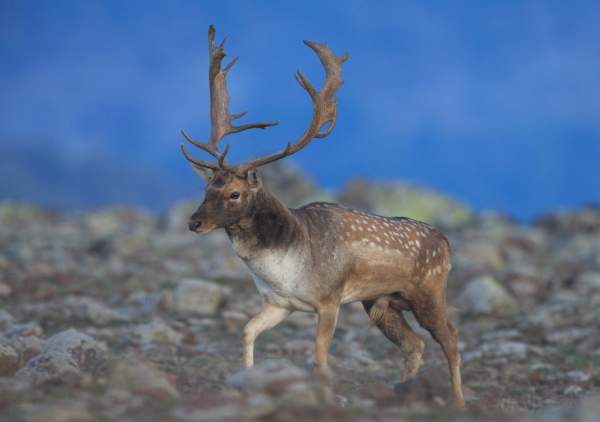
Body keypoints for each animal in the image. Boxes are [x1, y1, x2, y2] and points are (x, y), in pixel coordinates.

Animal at [180, 24, 466, 408]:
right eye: (206, 188)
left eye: (234, 193)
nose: (194, 222)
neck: (286, 266)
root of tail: (446, 242)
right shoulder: (279, 303)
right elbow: (247, 331)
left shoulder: (329, 301)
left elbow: (319, 357)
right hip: (382, 302)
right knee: (415, 344)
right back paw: (402, 394)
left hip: (429, 293)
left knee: (451, 339)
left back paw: (458, 402)